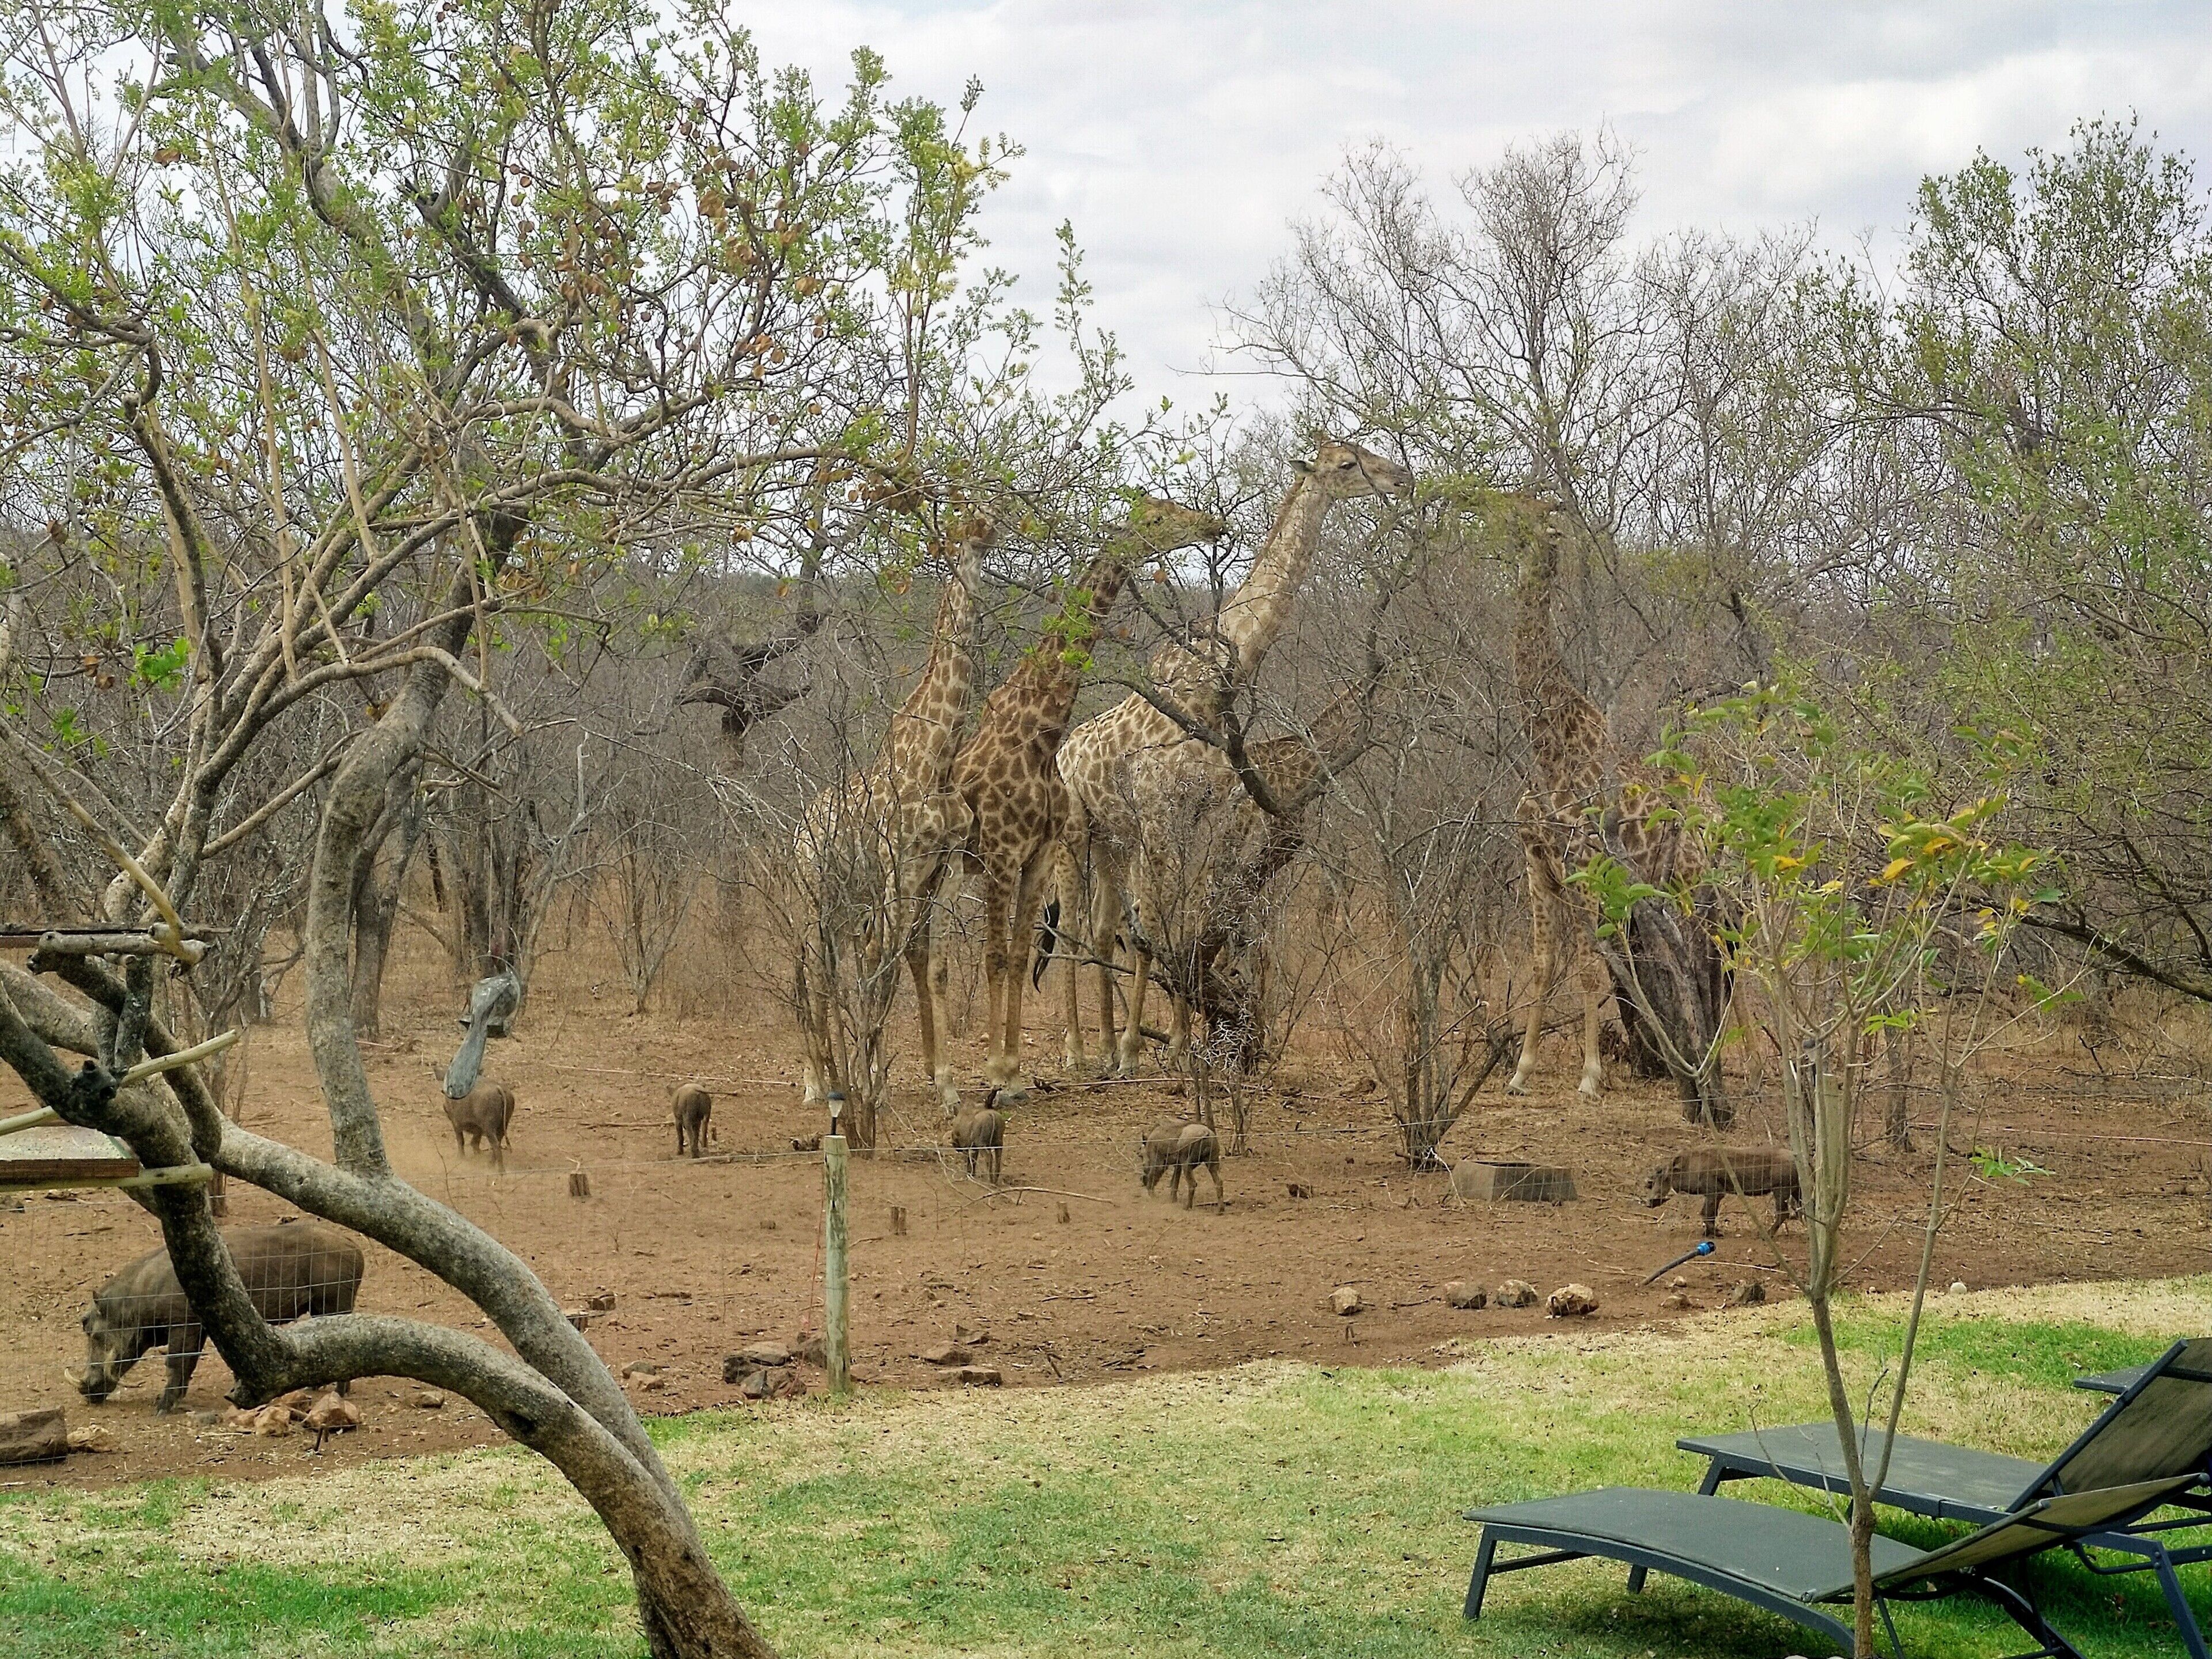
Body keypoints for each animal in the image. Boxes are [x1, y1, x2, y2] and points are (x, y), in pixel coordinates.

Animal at [73, 1221, 365, 1413]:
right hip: (321, 1308)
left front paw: (163, 1407)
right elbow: (188, 1364)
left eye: (91, 1330)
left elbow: (177, 1362)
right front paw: (177, 1399)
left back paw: (338, 1394)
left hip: (335, 1302)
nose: (87, 1393)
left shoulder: (184, 1325)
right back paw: (316, 1388)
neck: (140, 1296)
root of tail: (355, 1248)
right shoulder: (198, 1328)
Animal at [795, 513, 990, 1114]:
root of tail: (796, 830)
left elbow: (930, 966)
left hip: (847, 898)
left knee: (836, 965)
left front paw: (946, 1087)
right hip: (813, 892)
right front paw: (870, 1079)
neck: (938, 757)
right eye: (966, 527)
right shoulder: (899, 866)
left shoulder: (942, 868)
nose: (989, 537)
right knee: (814, 971)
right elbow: (883, 961)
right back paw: (818, 1082)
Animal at [950, 494, 1227, 1101]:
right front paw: (999, 1073)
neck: (1036, 730)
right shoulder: (1003, 854)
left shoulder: (1032, 855)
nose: (1211, 523)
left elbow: (1019, 952)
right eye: (1157, 515)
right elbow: (998, 956)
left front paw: (1012, 1073)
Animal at [1050, 439, 1413, 1074]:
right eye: (1347, 465)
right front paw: (1142, 1053)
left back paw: (1103, 1046)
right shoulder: (1161, 815)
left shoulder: (1209, 814)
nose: (1401, 478)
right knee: (1072, 926)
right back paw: (1078, 1052)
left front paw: (1173, 1046)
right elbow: (1156, 927)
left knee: (1099, 928)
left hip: (1112, 837)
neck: (1210, 685)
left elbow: (1189, 918)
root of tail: (1065, 751)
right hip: (1074, 829)